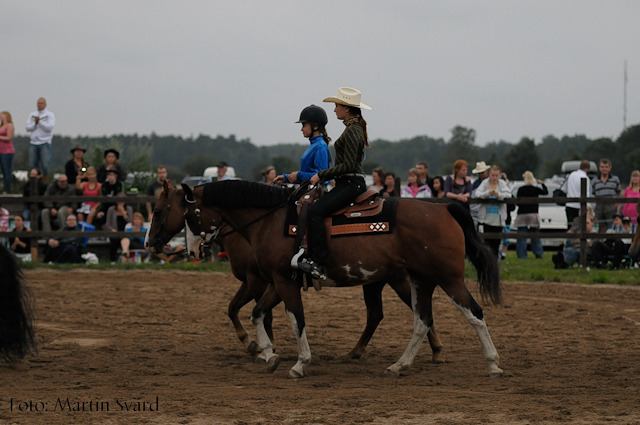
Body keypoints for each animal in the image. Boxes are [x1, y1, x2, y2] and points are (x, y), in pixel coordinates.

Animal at [148, 181, 502, 376]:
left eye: (160, 210)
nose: (151, 243)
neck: (272, 221)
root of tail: (443, 209)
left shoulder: (279, 282)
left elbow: (295, 320)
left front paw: (298, 363)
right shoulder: (277, 281)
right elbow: (258, 314)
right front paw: (269, 355)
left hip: (447, 278)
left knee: (474, 314)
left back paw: (493, 364)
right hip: (419, 280)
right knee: (421, 321)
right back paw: (399, 365)